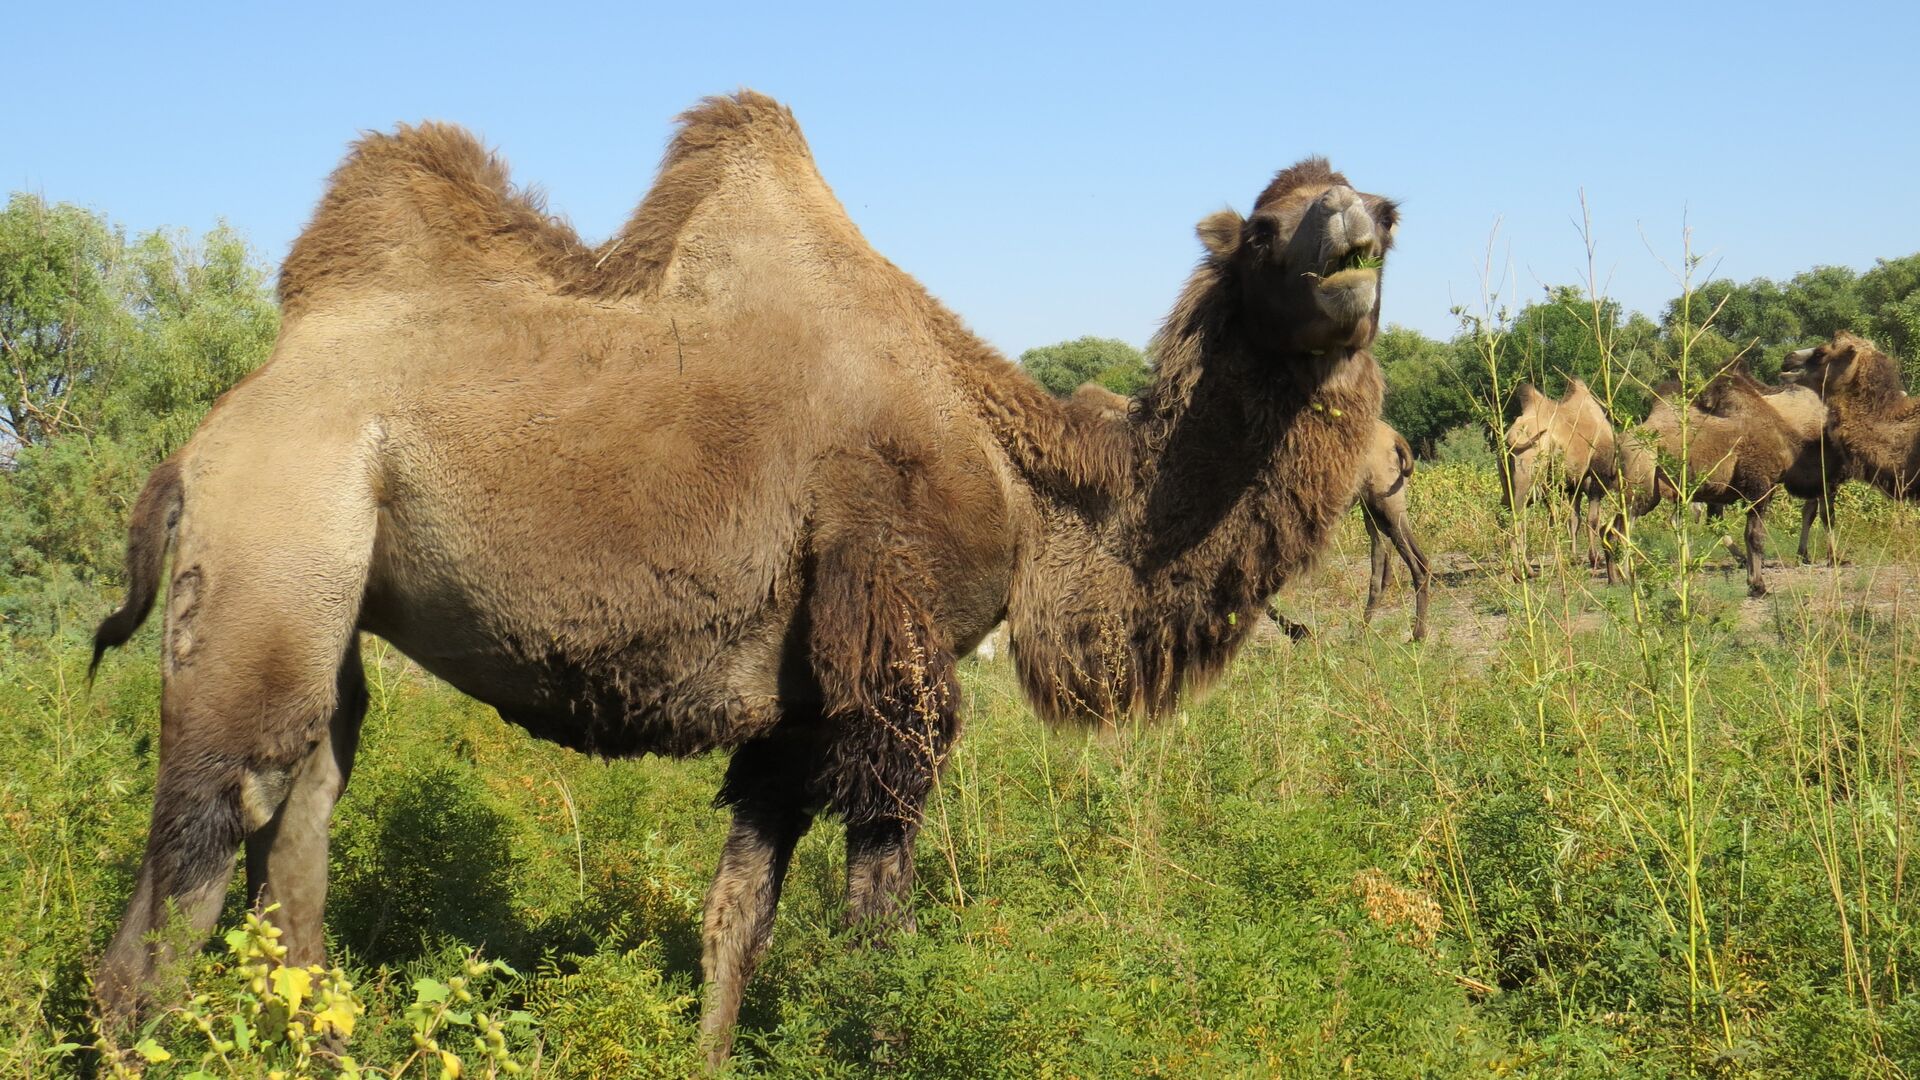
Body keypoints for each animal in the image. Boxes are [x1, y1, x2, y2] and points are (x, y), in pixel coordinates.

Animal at [90, 90, 1405, 1060]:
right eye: (1267, 226)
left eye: (1372, 207)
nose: (1360, 231)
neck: (1031, 481)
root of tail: (201, 442)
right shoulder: (893, 658)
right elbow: (879, 920)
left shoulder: (796, 701)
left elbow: (737, 923)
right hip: (273, 540)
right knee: (193, 867)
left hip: (329, 603)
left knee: (300, 818)